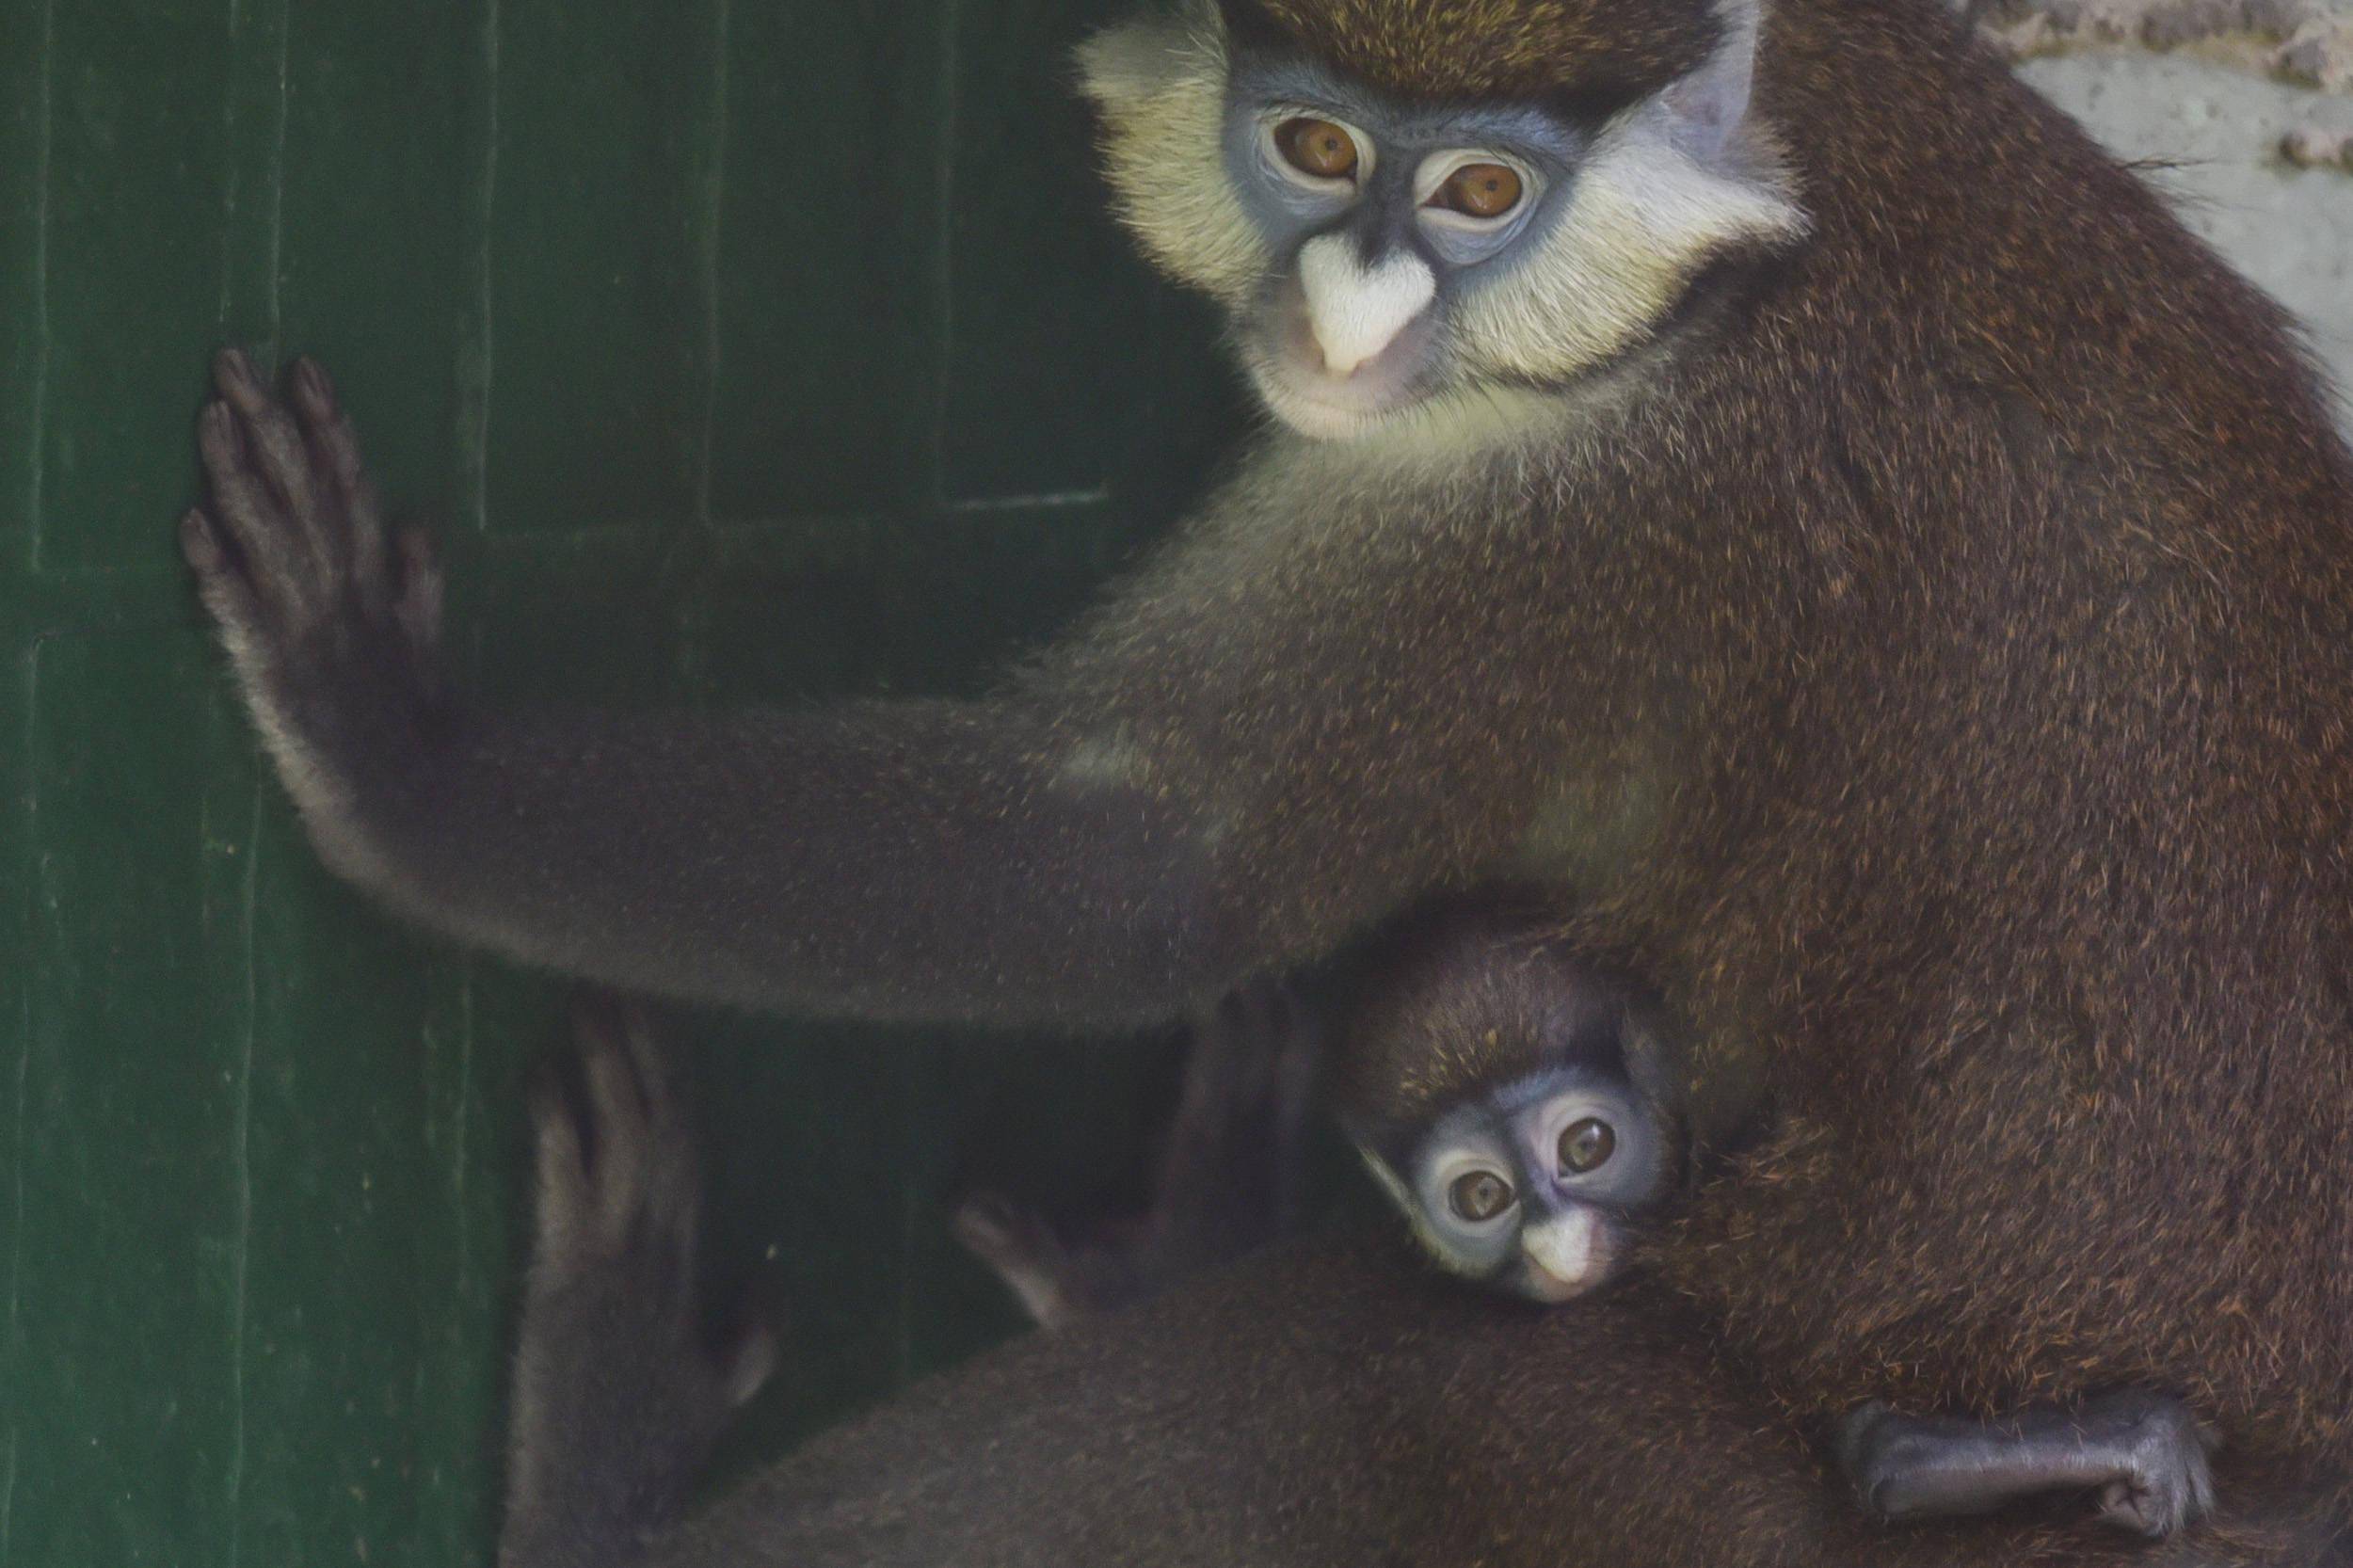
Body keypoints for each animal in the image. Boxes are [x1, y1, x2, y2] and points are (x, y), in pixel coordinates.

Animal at [184, 0, 2353, 1506]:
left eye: (1477, 193)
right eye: (1314, 144)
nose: (1348, 299)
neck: (1750, 228)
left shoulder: (1571, 513)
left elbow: (1129, 867)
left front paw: (395, 759)